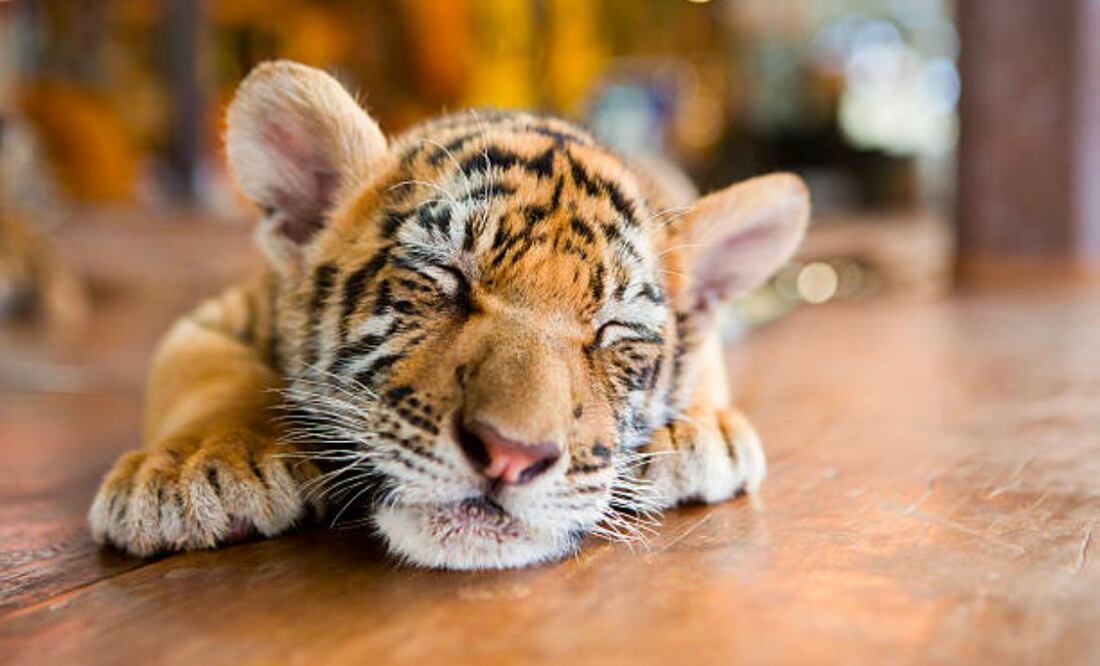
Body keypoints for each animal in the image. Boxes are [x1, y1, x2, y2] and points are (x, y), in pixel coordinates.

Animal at [88, 61, 809, 570]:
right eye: (446, 279)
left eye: (612, 333)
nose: (511, 457)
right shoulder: (216, 315)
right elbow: (205, 374)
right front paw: (194, 470)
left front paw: (699, 431)